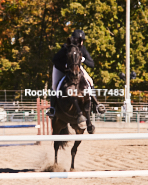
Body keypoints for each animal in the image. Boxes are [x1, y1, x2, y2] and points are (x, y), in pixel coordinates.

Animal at [51, 38, 104, 171]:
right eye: (68, 56)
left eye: (80, 56)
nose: (75, 74)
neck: (75, 81)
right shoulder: (67, 102)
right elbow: (74, 99)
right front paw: (81, 118)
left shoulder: (87, 99)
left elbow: (87, 109)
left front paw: (90, 126)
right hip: (57, 125)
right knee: (56, 145)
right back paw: (54, 166)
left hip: (79, 132)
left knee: (73, 149)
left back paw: (72, 168)